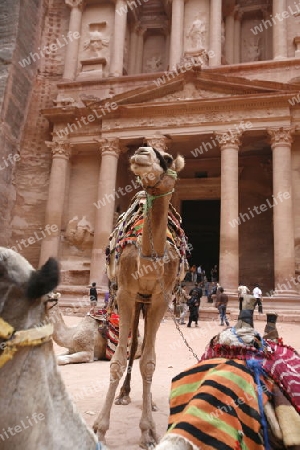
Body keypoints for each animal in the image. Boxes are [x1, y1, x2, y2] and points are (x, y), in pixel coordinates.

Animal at [94, 146, 186, 448]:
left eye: (167, 159)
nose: (142, 152)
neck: (149, 258)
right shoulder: (126, 293)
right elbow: (117, 361)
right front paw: (100, 428)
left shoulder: (161, 297)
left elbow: (149, 362)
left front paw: (148, 431)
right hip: (136, 303)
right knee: (134, 343)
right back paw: (124, 394)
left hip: (146, 303)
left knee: (144, 347)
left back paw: (151, 403)